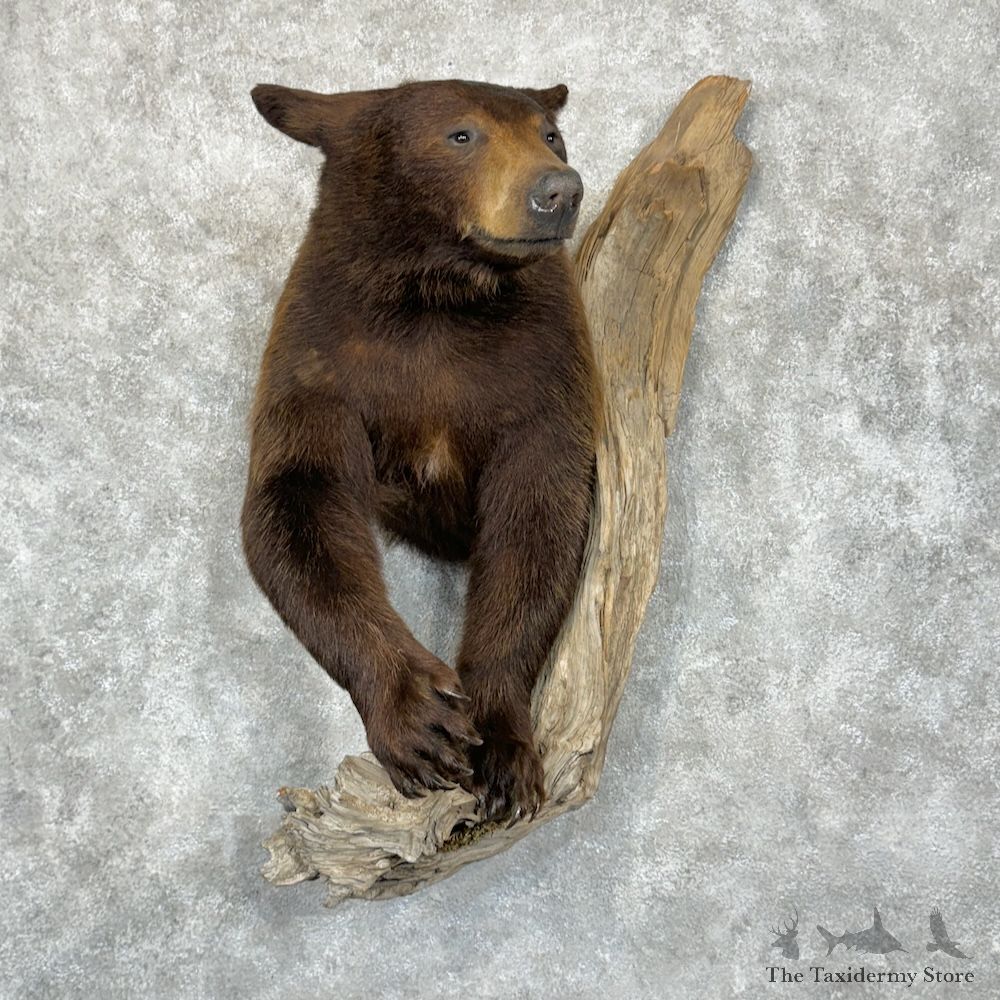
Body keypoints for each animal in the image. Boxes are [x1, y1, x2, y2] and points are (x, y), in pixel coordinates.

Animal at [242, 78, 598, 821]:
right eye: (461, 135)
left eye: (550, 134)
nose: (558, 189)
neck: (439, 293)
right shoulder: (325, 356)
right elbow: (298, 500)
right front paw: (420, 720)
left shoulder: (541, 366)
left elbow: (538, 519)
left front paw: (501, 746)